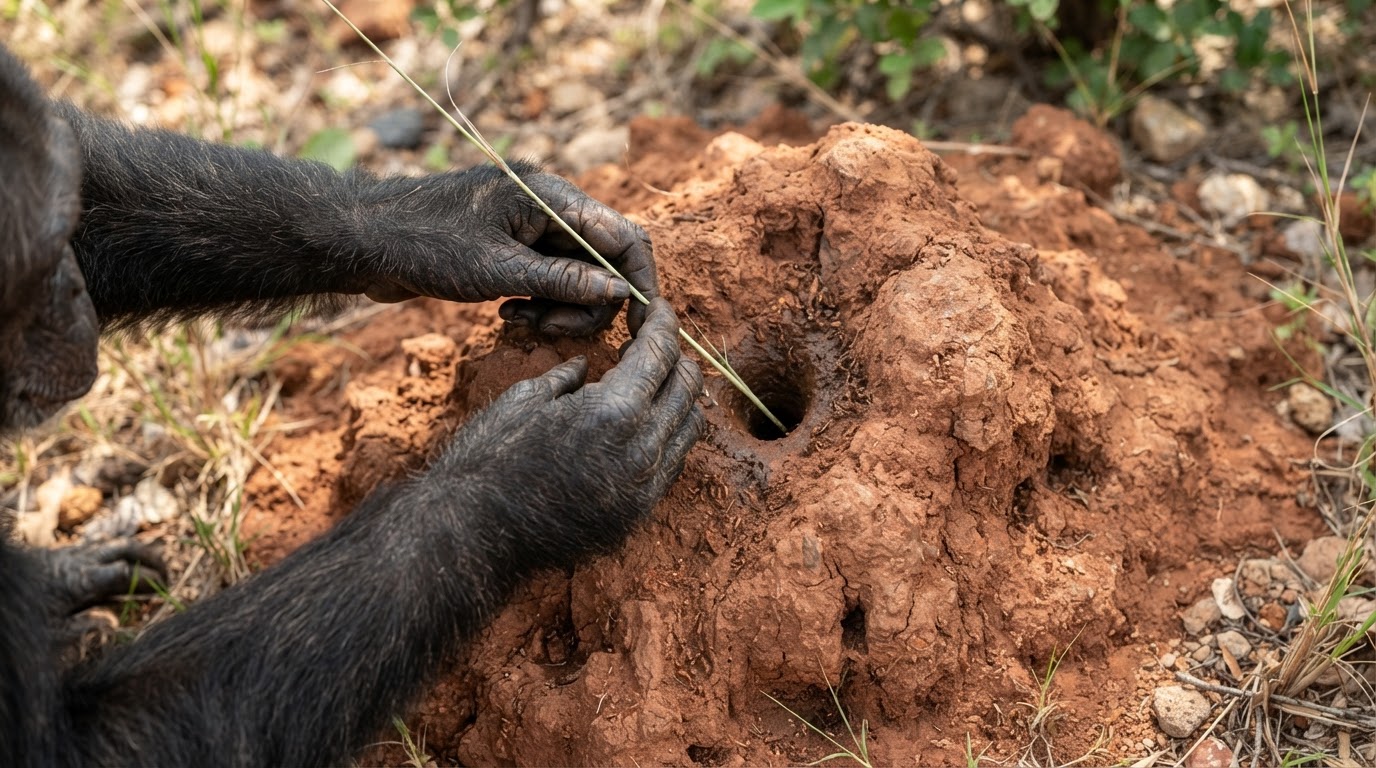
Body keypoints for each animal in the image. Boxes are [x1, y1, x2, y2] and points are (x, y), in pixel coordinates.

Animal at [0, 42, 704, 766]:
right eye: (40, 269)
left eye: (56, 258)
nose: (72, 295)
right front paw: (546, 470)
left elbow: (87, 181)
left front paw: (460, 210)